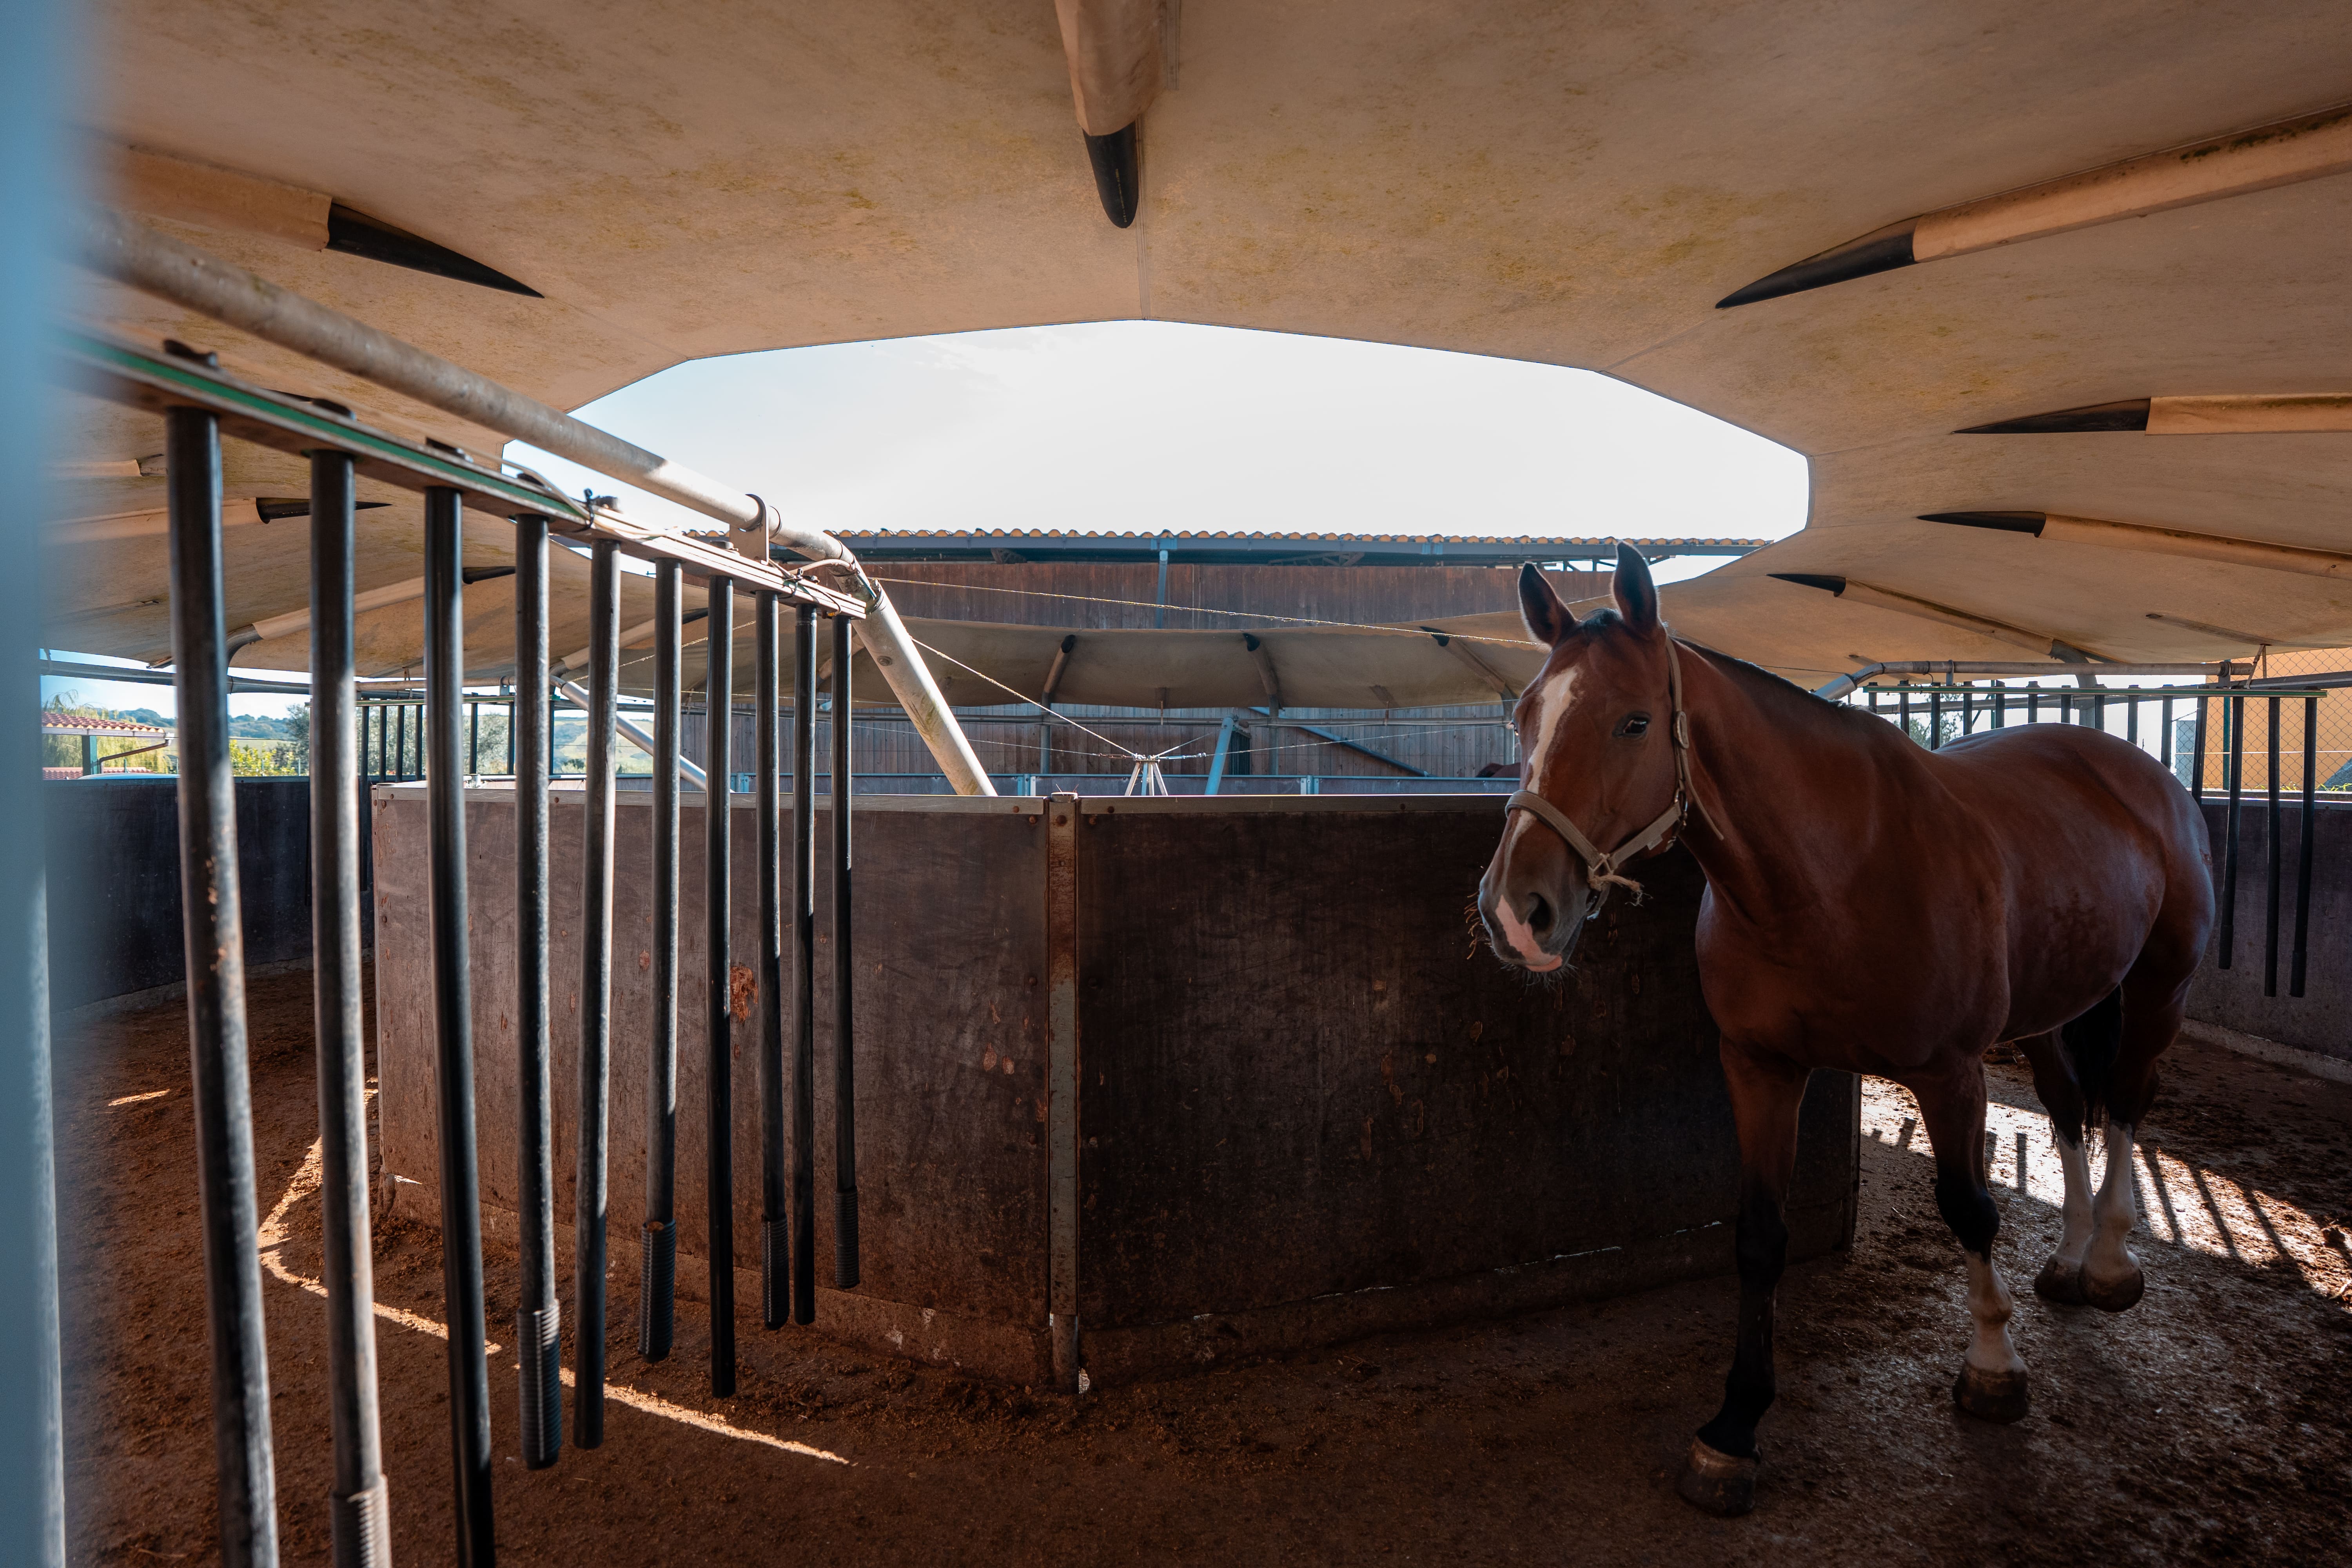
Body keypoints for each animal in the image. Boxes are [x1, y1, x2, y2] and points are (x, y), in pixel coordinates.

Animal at [1477, 543, 2213, 1517]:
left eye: (1634, 721)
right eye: (1524, 715)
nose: (1516, 913)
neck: (1830, 873)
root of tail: (2134, 769)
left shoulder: (1950, 1073)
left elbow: (1970, 1208)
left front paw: (1992, 1368)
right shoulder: (1760, 1067)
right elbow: (1759, 1235)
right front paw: (1734, 1427)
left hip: (2159, 988)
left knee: (2125, 1102)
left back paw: (2111, 1261)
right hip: (2050, 1008)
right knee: (2066, 1108)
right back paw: (2066, 1256)